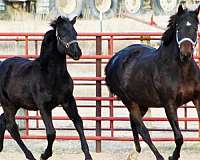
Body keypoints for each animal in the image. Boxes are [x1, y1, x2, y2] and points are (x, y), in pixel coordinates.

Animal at [0, 15, 92, 160]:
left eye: (75, 33)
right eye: (62, 34)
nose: (77, 53)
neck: (51, 75)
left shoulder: (68, 101)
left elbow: (78, 122)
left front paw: (88, 155)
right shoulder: (43, 107)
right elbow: (51, 132)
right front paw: (44, 155)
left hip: (16, 104)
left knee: (4, 122)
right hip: (7, 104)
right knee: (12, 127)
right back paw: (30, 156)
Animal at [105, 4, 199, 159]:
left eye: (195, 28)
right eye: (178, 28)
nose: (185, 53)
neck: (181, 71)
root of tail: (113, 60)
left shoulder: (197, 99)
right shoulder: (169, 105)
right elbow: (179, 137)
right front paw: (173, 156)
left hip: (142, 103)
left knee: (134, 124)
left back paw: (136, 151)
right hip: (130, 102)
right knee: (143, 130)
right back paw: (157, 156)